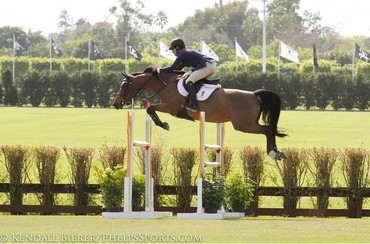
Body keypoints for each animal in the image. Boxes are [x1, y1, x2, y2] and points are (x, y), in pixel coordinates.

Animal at [112, 66, 290, 160]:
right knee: (269, 130)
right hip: (246, 124)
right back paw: (277, 152)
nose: (115, 104)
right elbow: (151, 109)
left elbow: (150, 109)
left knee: (268, 129)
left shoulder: (170, 107)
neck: (166, 84)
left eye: (124, 86)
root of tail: (254, 94)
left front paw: (163, 124)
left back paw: (273, 152)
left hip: (244, 125)